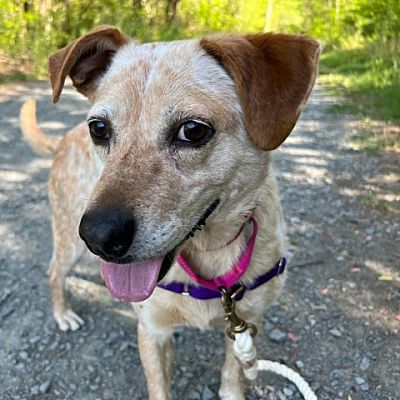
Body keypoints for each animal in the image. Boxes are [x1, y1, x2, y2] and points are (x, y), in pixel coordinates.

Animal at [20, 26, 320, 398]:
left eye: (192, 130)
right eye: (99, 128)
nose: (98, 237)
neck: (209, 256)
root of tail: (62, 140)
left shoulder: (246, 325)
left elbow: (233, 376)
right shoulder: (152, 331)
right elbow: (159, 386)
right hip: (68, 240)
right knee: (53, 272)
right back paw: (63, 314)